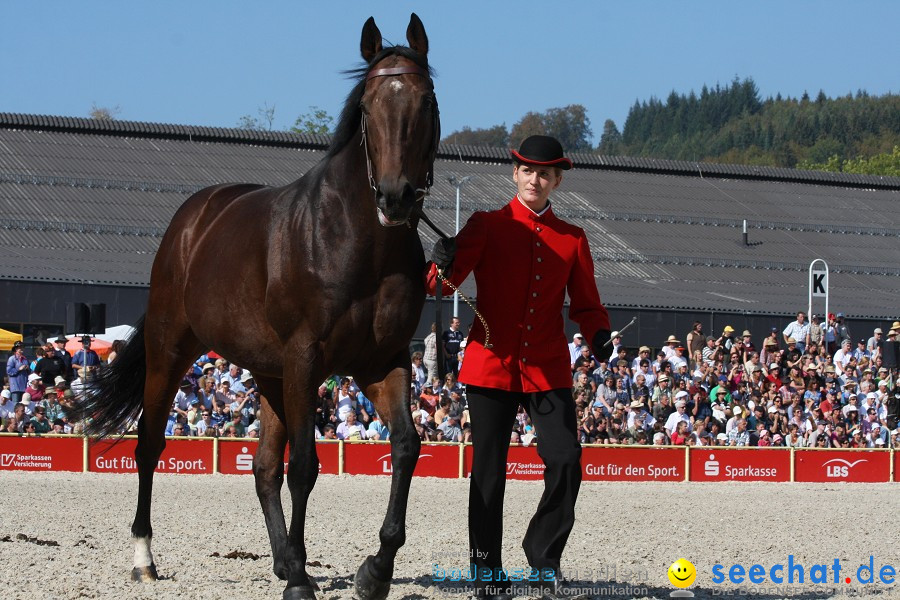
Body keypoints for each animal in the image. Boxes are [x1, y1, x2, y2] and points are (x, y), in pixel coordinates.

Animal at [70, 14, 436, 600]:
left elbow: (404, 446)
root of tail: (193, 219)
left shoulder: (384, 362)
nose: (396, 196)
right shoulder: (306, 362)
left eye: (425, 101)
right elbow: (306, 467)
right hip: (171, 352)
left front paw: (374, 571)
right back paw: (146, 558)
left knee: (263, 467)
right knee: (149, 446)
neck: (358, 240)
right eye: (367, 106)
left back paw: (284, 559)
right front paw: (304, 580)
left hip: (268, 374)